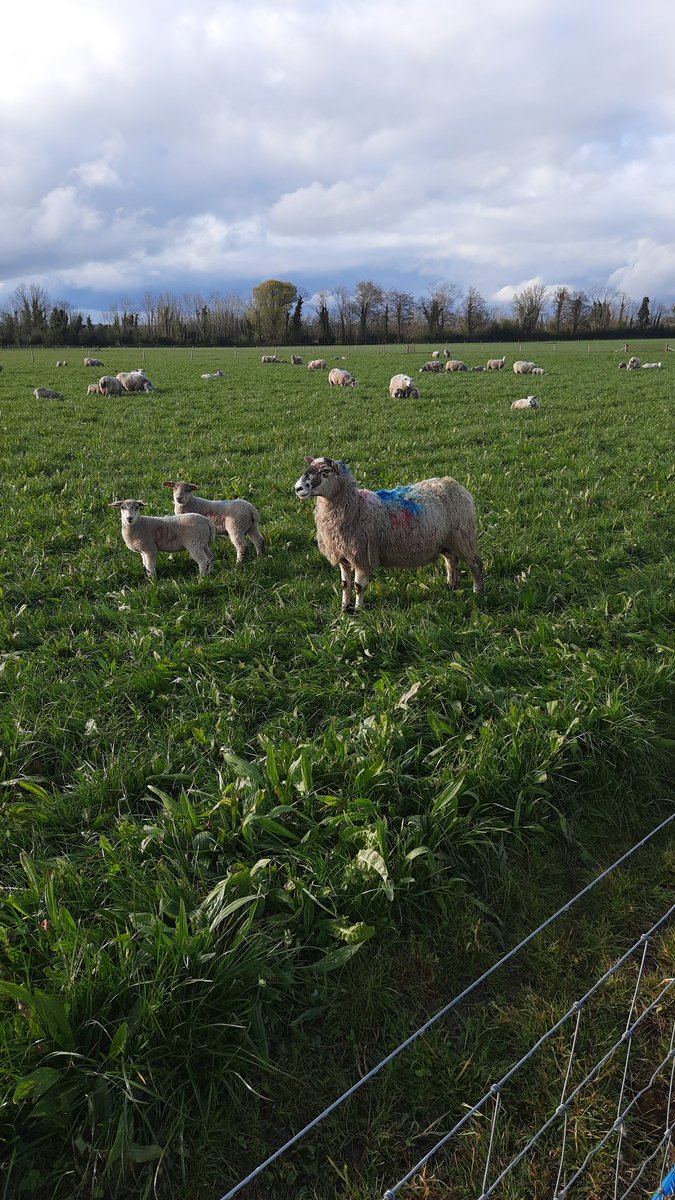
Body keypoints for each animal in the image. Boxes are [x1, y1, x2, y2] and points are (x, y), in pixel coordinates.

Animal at [294, 456, 484, 613]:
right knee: (451, 560)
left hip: (464, 537)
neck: (357, 506)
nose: (298, 488)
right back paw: (452, 585)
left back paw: (478, 591)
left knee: (475, 563)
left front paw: (358, 611)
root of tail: (452, 483)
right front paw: (344, 608)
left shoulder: (362, 557)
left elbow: (357, 586)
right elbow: (345, 584)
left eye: (325, 472)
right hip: (445, 540)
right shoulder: (344, 557)